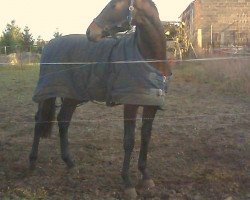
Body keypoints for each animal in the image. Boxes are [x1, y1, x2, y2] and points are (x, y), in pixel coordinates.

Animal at [29, 0, 172, 198]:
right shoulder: (130, 104)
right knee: (39, 121)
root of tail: (49, 44)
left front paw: (145, 177)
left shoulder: (150, 104)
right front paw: (128, 184)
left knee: (63, 121)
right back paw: (32, 162)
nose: (90, 32)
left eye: (114, 5)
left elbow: (145, 137)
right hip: (48, 91)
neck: (149, 59)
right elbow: (129, 141)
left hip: (71, 95)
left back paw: (70, 164)